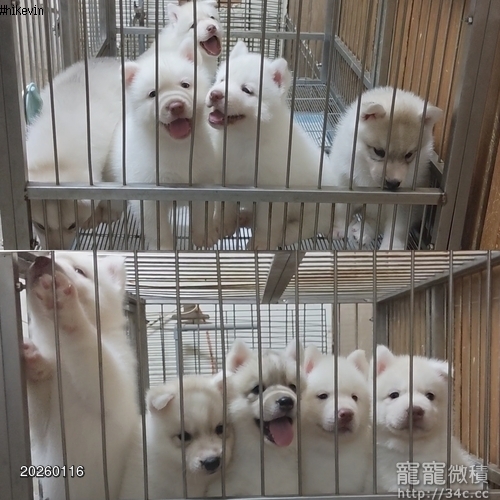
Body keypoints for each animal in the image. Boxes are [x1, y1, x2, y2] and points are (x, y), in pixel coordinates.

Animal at [23, 253, 139, 500]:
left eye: (80, 271)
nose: (41, 259)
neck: (61, 352)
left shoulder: (115, 390)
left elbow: (90, 351)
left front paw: (64, 306)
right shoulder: (40, 423)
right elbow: (35, 409)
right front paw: (33, 359)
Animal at [111, 40, 220, 249]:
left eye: (185, 84)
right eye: (152, 94)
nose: (176, 105)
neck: (177, 148)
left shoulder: (204, 183)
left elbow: (202, 214)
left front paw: (204, 236)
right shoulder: (148, 194)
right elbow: (157, 229)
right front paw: (164, 249)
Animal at [206, 41, 334, 250]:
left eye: (246, 90)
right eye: (222, 80)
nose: (215, 94)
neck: (240, 139)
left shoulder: (273, 194)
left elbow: (268, 223)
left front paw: (260, 242)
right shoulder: (224, 178)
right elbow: (226, 206)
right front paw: (223, 224)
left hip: (315, 207)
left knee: (309, 225)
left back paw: (288, 233)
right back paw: (245, 217)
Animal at [328, 87, 443, 250]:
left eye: (409, 155)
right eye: (379, 151)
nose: (393, 183)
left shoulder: (405, 203)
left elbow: (397, 227)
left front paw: (392, 248)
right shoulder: (344, 178)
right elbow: (342, 207)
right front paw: (338, 228)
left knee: (377, 223)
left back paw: (363, 232)